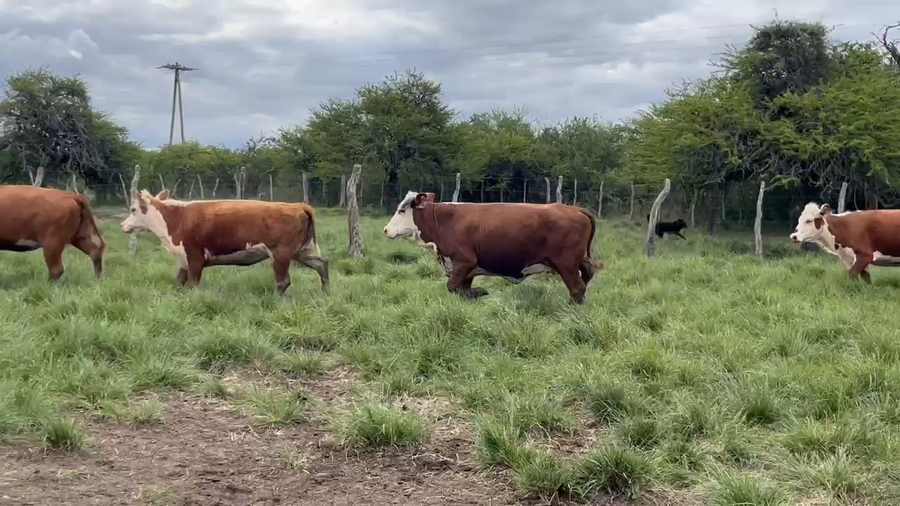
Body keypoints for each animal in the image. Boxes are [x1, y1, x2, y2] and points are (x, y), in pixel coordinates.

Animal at [120, 190, 330, 295]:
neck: (175, 217)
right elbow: (179, 282)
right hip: (303, 250)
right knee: (322, 264)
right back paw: (326, 293)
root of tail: (298, 206)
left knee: (283, 281)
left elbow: (192, 283)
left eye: (133, 209)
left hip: (281, 254)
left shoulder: (195, 257)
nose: (123, 225)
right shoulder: (183, 259)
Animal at [383, 191, 603, 303]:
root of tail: (574, 209)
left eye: (402, 210)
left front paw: (479, 292)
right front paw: (474, 294)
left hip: (566, 264)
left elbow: (452, 285)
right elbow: (461, 287)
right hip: (576, 260)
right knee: (587, 273)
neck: (444, 220)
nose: (386, 230)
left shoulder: (463, 261)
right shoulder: (466, 269)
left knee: (577, 287)